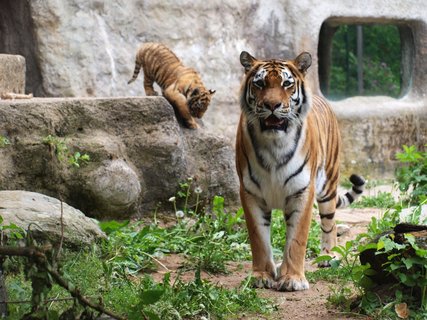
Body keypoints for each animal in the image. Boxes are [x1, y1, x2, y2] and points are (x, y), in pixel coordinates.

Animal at [236, 50, 366, 292]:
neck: (274, 145)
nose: (272, 105)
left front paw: (293, 279)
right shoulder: (250, 193)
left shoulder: (302, 191)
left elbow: (297, 239)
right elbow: (259, 239)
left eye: (287, 84)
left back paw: (328, 256)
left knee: (330, 223)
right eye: (259, 83)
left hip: (328, 186)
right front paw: (261, 276)